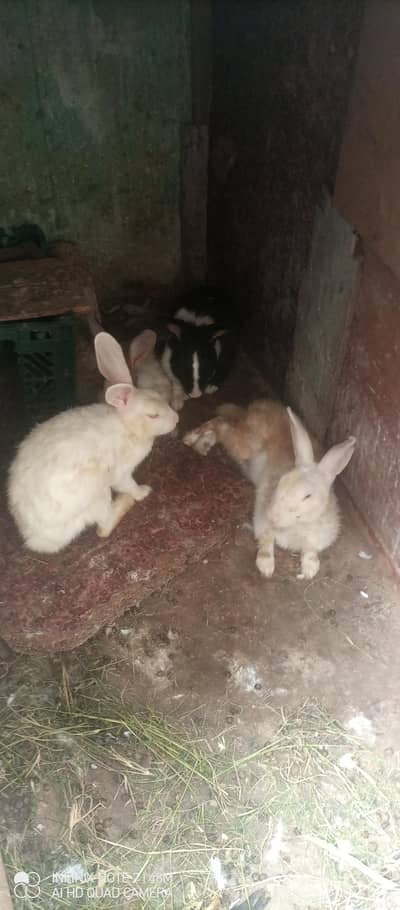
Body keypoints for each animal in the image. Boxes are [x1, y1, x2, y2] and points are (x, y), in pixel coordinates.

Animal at [7, 332, 178, 554]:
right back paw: (125, 502)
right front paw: (142, 492)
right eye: (153, 415)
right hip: (97, 491)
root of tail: (38, 540)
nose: (177, 419)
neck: (127, 425)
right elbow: (128, 484)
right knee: (103, 528)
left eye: (158, 396)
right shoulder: (121, 472)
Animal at [184, 400, 356, 579]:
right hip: (246, 444)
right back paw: (191, 438)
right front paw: (266, 568)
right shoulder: (261, 521)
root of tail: (258, 406)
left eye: (308, 496)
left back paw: (202, 444)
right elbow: (266, 542)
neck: (297, 526)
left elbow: (310, 551)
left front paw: (309, 570)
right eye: (281, 481)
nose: (273, 517)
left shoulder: (317, 539)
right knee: (220, 422)